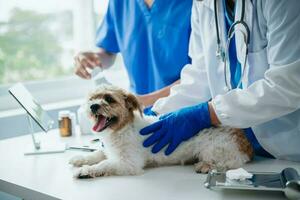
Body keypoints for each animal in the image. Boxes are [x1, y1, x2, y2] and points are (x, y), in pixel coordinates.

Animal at [68, 84, 253, 178]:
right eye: (91, 99)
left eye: (109, 99)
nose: (93, 106)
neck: (122, 129)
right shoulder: (110, 151)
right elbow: (97, 154)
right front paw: (80, 159)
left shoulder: (128, 163)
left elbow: (104, 164)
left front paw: (85, 170)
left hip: (214, 148)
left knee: (229, 163)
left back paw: (205, 165)